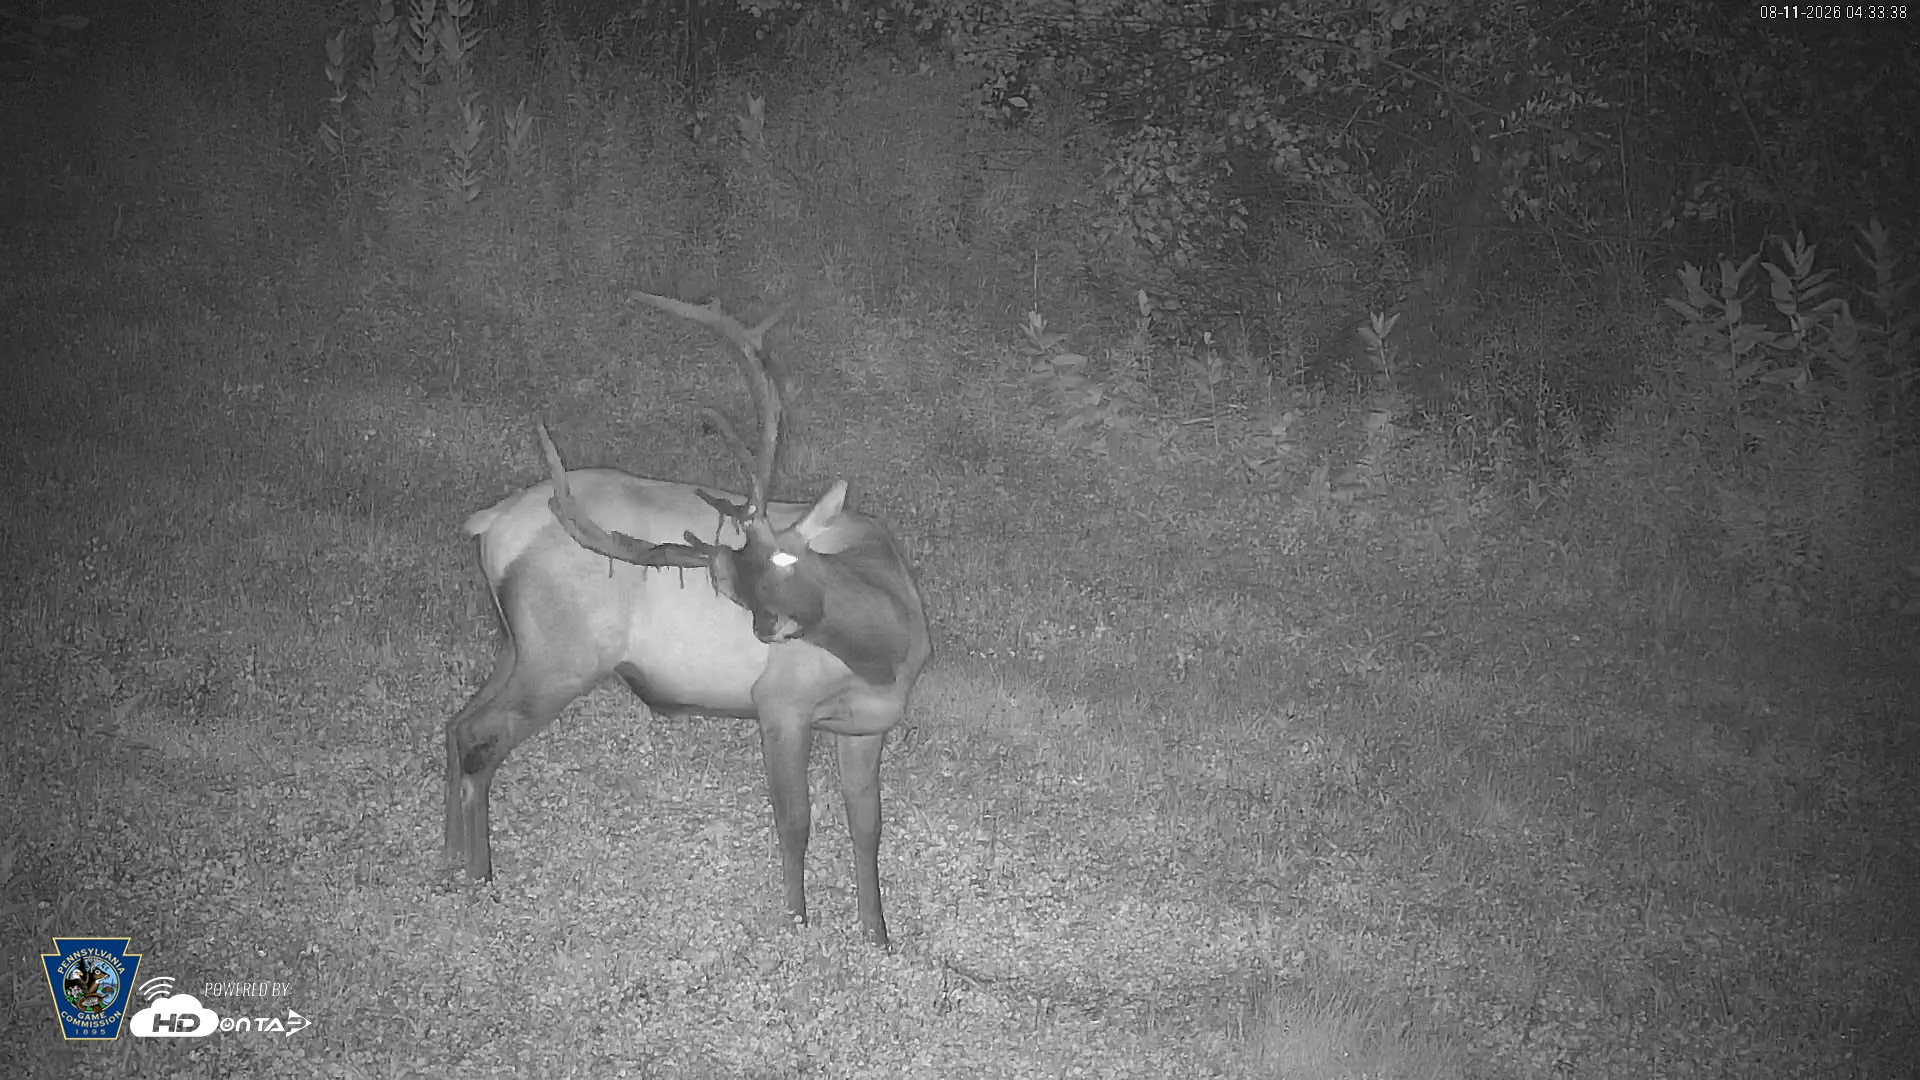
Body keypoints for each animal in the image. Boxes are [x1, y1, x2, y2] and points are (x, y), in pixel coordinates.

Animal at [445, 291, 932, 946]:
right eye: (733, 588)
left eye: (794, 558)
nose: (772, 630)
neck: (890, 655)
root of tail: (492, 523)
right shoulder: (780, 702)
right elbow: (795, 819)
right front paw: (797, 926)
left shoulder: (864, 727)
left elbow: (867, 827)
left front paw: (878, 939)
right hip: (561, 656)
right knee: (480, 738)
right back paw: (481, 879)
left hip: (517, 645)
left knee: (457, 725)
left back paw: (451, 861)